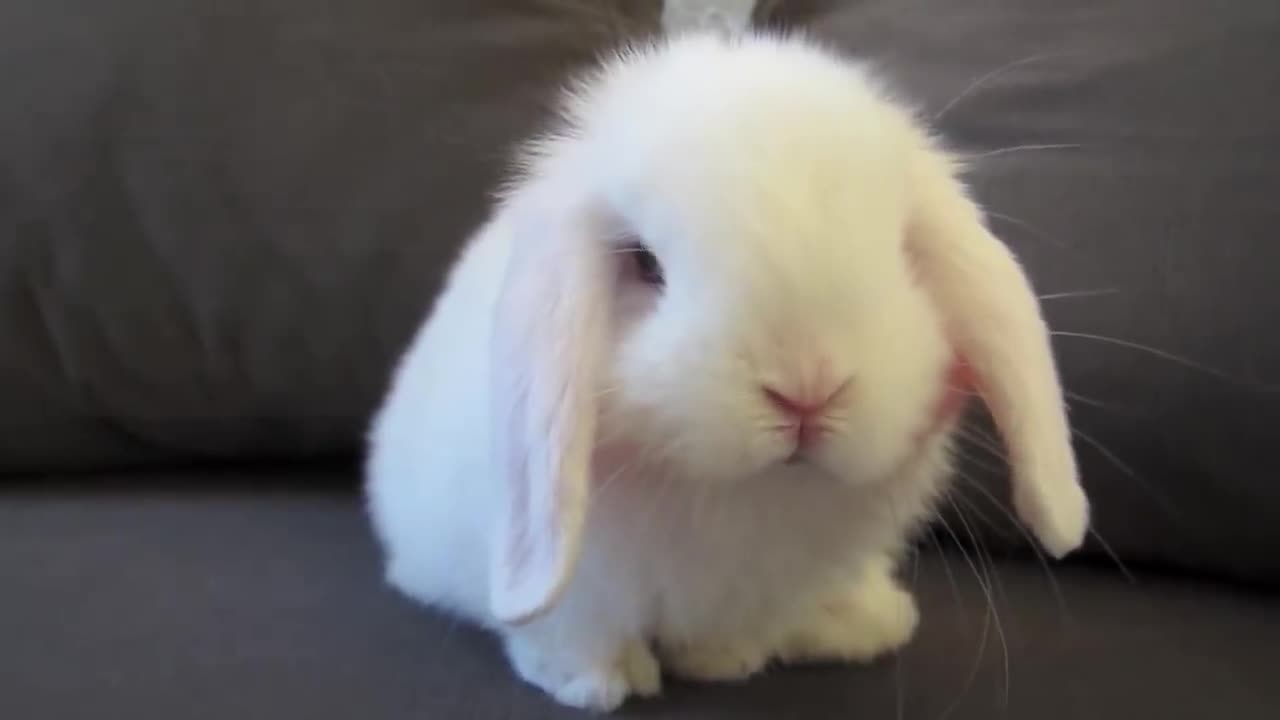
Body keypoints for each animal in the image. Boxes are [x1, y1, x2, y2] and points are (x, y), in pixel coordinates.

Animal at [366, 29, 1085, 712]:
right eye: (644, 263)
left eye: (902, 251)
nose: (807, 392)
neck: (742, 498)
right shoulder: (570, 581)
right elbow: (569, 628)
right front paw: (599, 683)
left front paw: (725, 661)